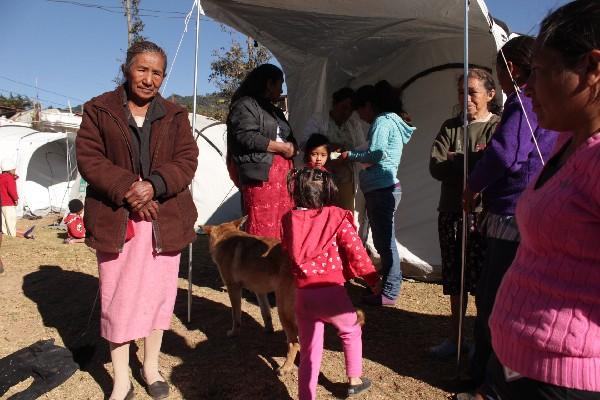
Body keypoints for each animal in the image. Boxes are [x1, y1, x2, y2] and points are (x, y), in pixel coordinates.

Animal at [200, 217, 298, 374]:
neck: (227, 236)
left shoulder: (233, 288)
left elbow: (236, 316)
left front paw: (234, 333)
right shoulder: (260, 291)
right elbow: (266, 314)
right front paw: (268, 330)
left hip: (283, 310)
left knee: (295, 343)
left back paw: (286, 367)